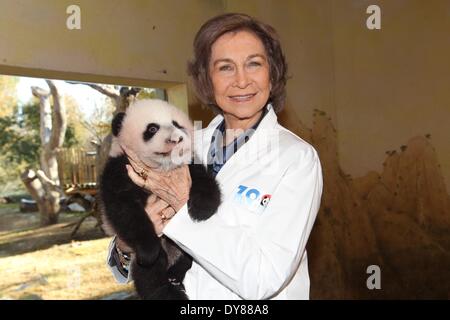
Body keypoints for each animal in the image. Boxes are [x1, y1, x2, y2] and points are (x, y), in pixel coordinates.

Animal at [101, 99, 222, 298]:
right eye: (152, 129)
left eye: (177, 124)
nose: (177, 139)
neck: (162, 168)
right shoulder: (120, 169)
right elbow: (124, 210)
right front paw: (148, 249)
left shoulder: (187, 167)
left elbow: (202, 179)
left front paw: (202, 209)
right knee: (149, 274)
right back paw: (167, 290)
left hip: (182, 249)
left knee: (185, 259)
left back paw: (175, 277)